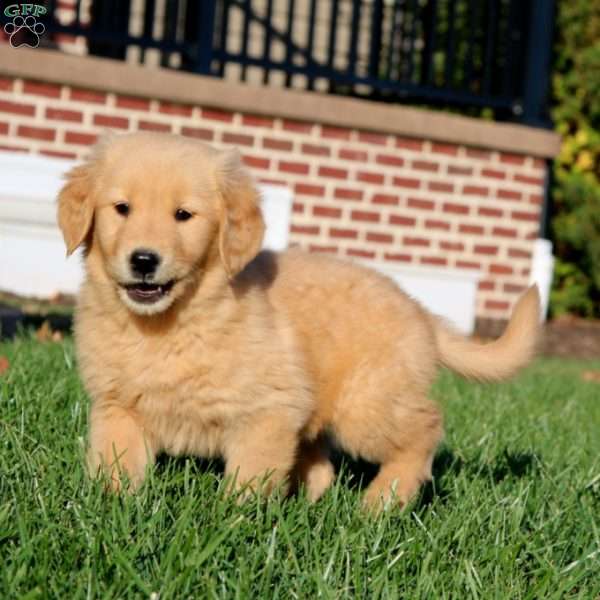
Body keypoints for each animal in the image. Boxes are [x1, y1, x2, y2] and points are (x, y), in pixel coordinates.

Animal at [59, 134, 540, 508]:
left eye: (183, 215)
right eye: (122, 208)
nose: (143, 261)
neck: (170, 323)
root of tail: (417, 306)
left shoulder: (269, 411)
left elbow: (249, 478)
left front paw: (232, 522)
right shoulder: (119, 405)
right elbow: (117, 462)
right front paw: (110, 508)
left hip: (367, 404)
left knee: (425, 428)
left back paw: (383, 501)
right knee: (325, 465)